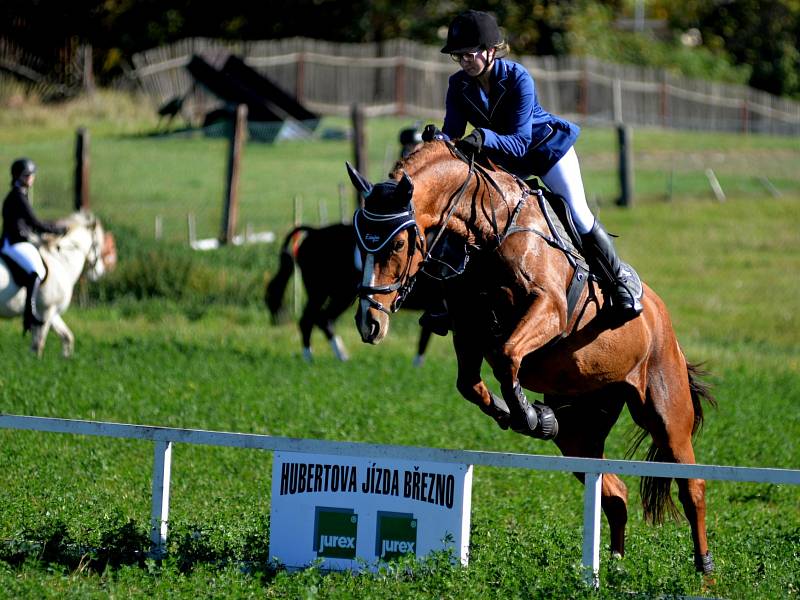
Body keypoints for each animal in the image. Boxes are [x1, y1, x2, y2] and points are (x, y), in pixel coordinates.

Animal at [0, 211, 115, 356]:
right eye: (97, 244)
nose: (99, 272)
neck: (60, 261)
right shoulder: (46, 311)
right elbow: (38, 346)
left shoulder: (52, 313)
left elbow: (67, 337)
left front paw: (66, 358)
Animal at [350, 142, 720, 576]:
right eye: (360, 244)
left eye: (396, 244)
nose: (369, 323)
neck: (490, 229)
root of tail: (663, 321)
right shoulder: (469, 329)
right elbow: (471, 382)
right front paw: (523, 415)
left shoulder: (549, 309)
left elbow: (505, 356)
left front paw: (528, 415)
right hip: (581, 432)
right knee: (614, 491)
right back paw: (612, 568)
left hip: (664, 411)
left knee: (691, 486)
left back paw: (704, 571)